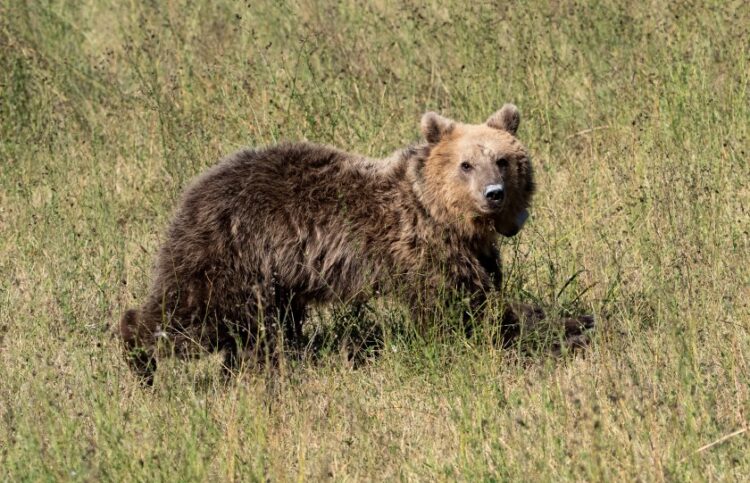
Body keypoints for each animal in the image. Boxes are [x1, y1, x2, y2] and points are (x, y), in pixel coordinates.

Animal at [120, 104, 596, 384]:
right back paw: (139, 358)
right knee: (193, 315)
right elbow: (464, 312)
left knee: (261, 330)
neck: (443, 216)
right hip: (232, 254)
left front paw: (576, 321)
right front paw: (562, 330)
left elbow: (488, 298)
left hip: (273, 277)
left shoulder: (474, 253)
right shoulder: (421, 251)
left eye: (503, 159)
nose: (493, 193)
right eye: (466, 164)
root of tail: (196, 188)